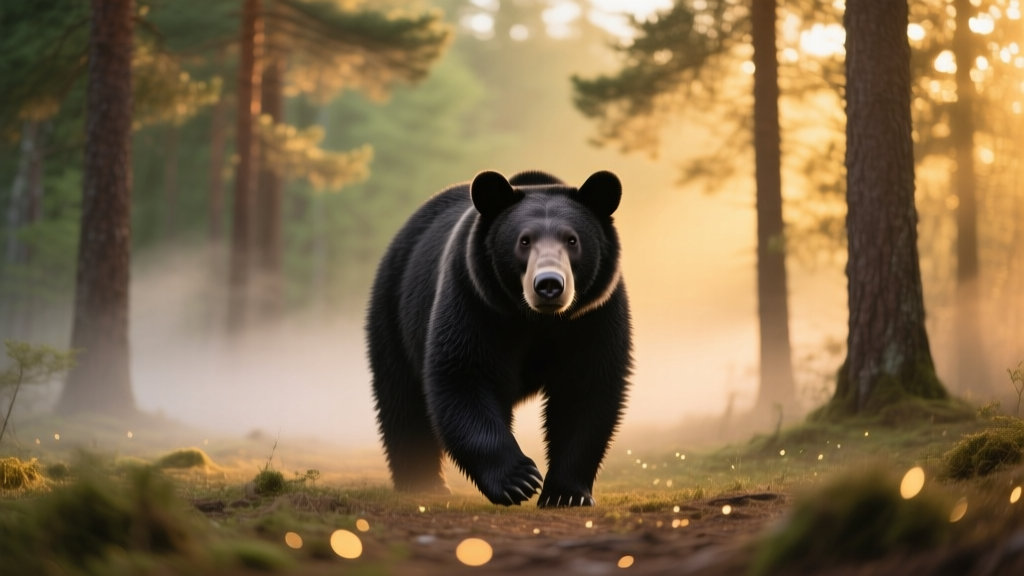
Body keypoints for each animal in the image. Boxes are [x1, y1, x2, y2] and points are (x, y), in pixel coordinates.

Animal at [366, 169, 632, 507]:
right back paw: (424, 482)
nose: (549, 284)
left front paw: (566, 493)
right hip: (394, 310)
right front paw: (518, 479)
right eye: (524, 240)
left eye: (572, 240)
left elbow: (585, 388)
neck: (536, 319)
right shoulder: (475, 299)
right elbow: (464, 375)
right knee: (402, 398)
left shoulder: (593, 315)